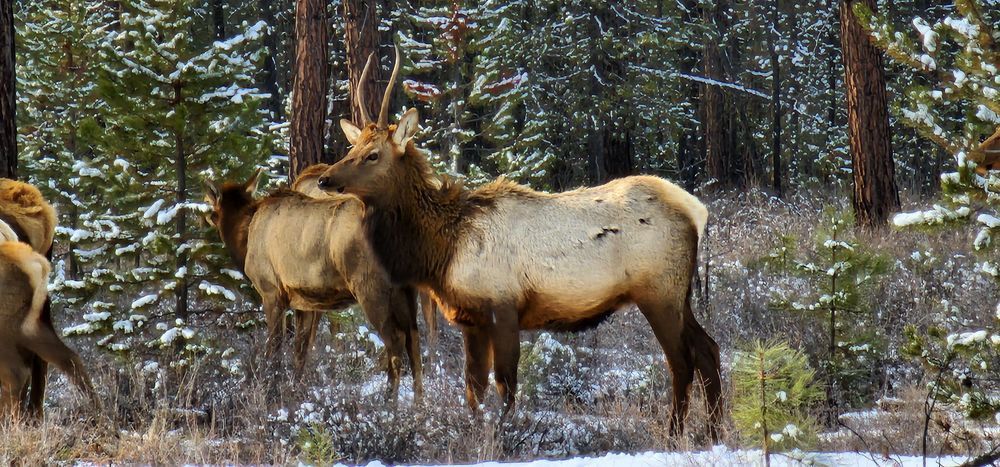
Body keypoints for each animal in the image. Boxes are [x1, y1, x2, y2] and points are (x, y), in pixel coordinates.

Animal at [204, 170, 423, 399]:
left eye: (214, 210)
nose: (207, 218)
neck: (244, 237)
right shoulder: (305, 301)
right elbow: (301, 348)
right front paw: (296, 390)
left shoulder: (271, 291)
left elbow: (275, 345)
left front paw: (269, 390)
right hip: (407, 291)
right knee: (414, 341)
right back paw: (419, 403)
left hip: (371, 288)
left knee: (396, 339)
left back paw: (389, 401)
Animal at [316, 48, 722, 437]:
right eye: (351, 149)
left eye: (372, 154)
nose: (324, 179)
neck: (442, 249)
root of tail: (696, 210)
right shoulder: (472, 320)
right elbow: (474, 390)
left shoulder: (503, 307)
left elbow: (505, 386)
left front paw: (505, 436)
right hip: (679, 293)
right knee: (709, 349)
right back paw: (714, 431)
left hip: (659, 291)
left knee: (681, 362)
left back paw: (674, 434)